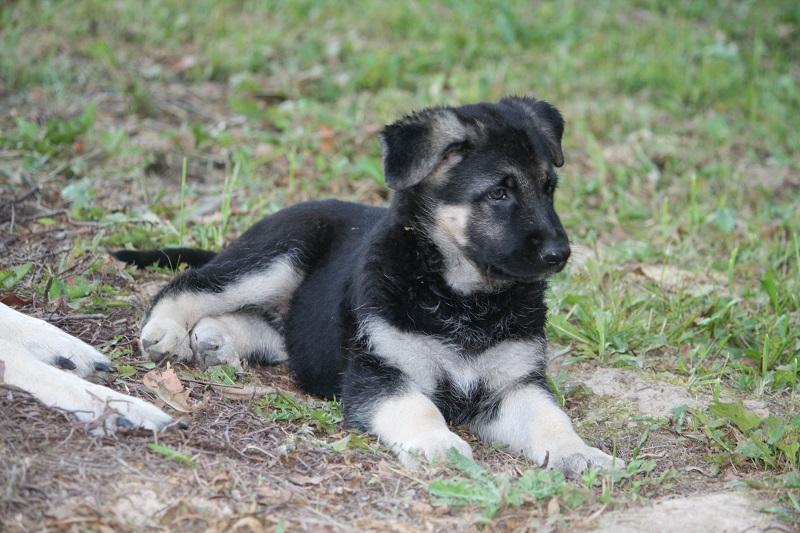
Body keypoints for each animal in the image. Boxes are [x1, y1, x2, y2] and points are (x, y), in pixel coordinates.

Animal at [114, 97, 624, 476]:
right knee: (190, 284)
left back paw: (216, 338)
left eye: (548, 188)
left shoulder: (515, 386)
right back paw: (167, 331)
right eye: (499, 193)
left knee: (276, 333)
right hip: (279, 254)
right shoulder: (380, 375)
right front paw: (440, 443)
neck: (461, 298)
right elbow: (418, 408)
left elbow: (550, 417)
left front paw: (581, 452)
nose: (560, 253)